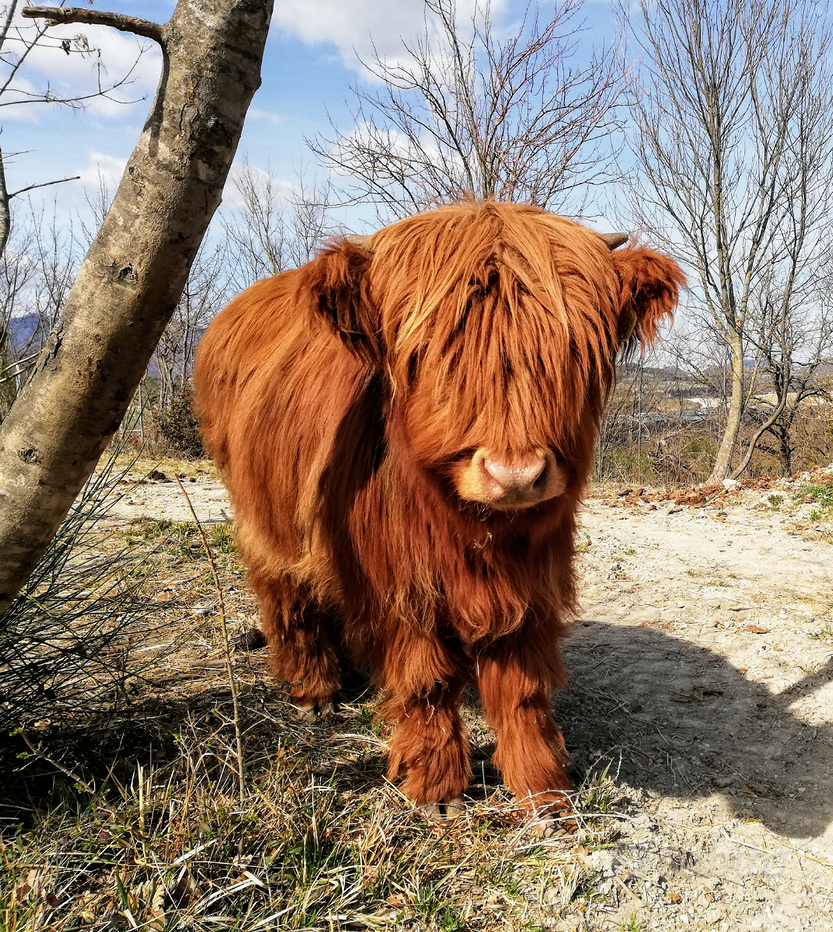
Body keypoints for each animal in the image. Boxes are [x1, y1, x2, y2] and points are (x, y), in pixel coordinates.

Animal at [195, 202, 684, 824]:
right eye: (431, 353)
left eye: (570, 349)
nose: (516, 474)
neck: (477, 534)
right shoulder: (404, 587)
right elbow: (425, 680)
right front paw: (437, 787)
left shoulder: (532, 584)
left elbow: (523, 689)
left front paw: (543, 789)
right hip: (263, 517)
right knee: (287, 593)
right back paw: (314, 690)